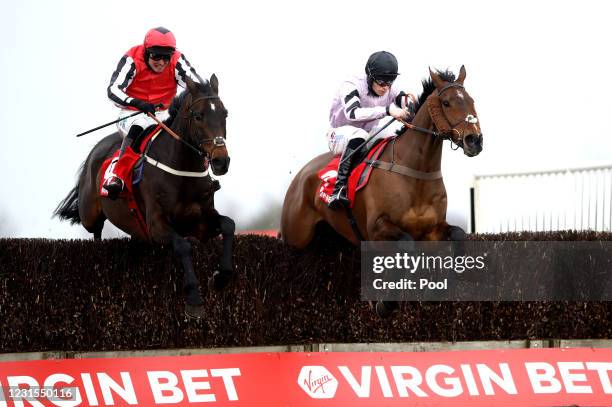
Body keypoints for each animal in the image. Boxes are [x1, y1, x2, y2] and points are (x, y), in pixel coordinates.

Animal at [54, 75, 234, 318]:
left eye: (225, 114)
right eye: (198, 116)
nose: (221, 161)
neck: (182, 171)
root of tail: (96, 149)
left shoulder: (201, 223)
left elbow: (228, 225)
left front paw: (221, 277)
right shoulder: (156, 226)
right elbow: (183, 246)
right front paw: (194, 300)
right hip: (89, 214)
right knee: (96, 231)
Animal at [280, 66, 482, 249]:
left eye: (472, 100)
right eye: (446, 102)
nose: (475, 140)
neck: (417, 172)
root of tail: (300, 176)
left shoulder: (433, 229)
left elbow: (458, 234)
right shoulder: (377, 229)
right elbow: (406, 243)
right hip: (296, 238)